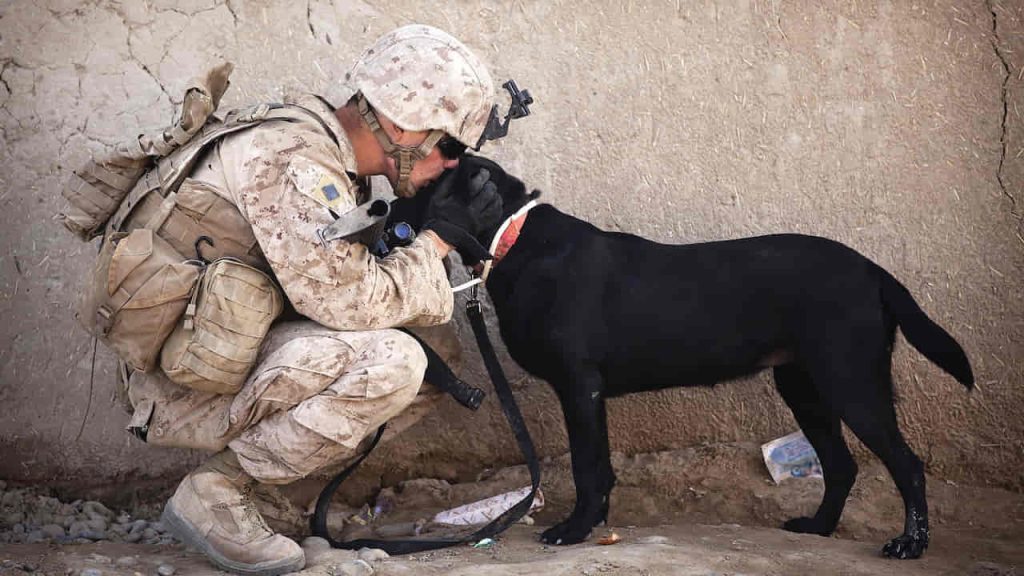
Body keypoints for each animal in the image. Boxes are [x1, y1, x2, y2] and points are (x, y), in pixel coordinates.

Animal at [395, 154, 970, 557]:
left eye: (424, 186)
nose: (385, 206)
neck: (513, 238)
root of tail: (873, 270)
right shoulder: (590, 393)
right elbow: (600, 466)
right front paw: (594, 523)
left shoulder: (580, 386)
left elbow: (586, 466)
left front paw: (575, 529)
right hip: (803, 385)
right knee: (843, 466)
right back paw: (819, 528)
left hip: (850, 381)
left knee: (906, 464)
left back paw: (910, 544)